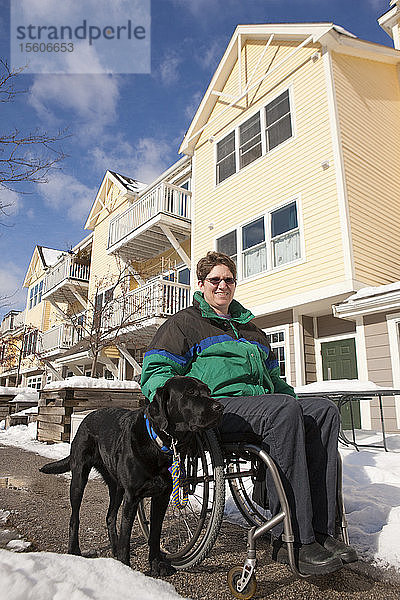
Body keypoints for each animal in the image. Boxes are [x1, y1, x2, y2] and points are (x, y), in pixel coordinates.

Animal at [39, 376, 223, 576]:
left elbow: (155, 534)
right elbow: (126, 535)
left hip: (117, 487)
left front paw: (156, 564)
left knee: (110, 516)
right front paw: (126, 568)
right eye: (190, 392)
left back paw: (113, 549)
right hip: (80, 478)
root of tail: (86, 417)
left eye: (208, 391)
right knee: (75, 517)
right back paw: (74, 550)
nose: (220, 407)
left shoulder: (162, 497)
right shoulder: (132, 497)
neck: (158, 442)